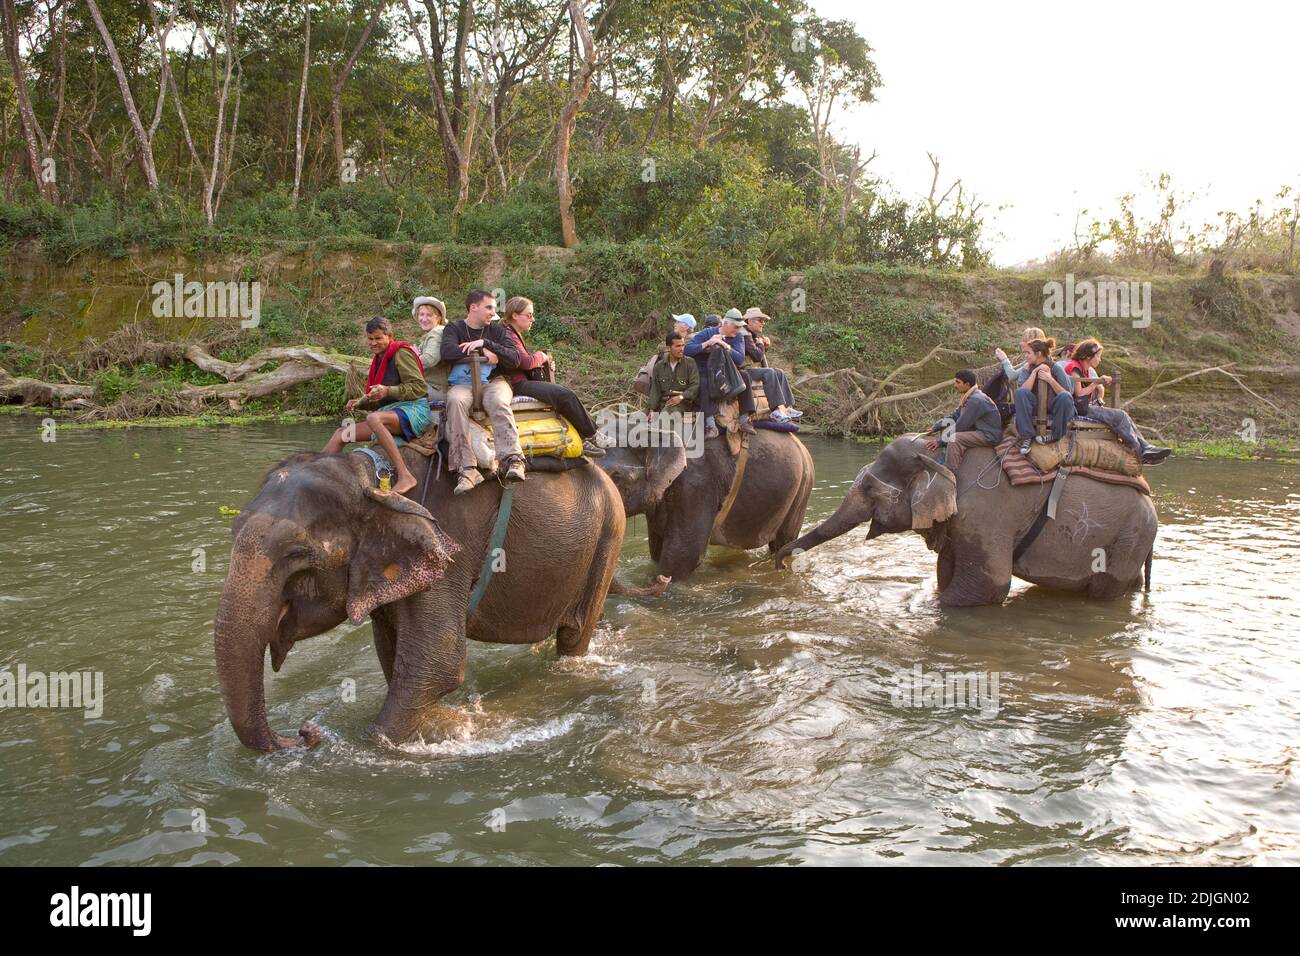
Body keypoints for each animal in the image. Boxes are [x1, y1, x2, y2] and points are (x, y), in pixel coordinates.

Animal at [213, 447, 624, 754]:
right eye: (232, 532)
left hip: (607, 537)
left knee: (574, 637)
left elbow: (437, 664)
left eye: (296, 554)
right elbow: (393, 655)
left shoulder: (449, 549)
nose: (304, 732)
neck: (372, 479)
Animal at [595, 416, 811, 582]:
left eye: (616, 476)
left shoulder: (695, 485)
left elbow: (684, 555)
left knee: (783, 542)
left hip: (802, 488)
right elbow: (657, 548)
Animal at [769, 434, 1159, 606]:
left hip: (1128, 537)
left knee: (1105, 590)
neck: (943, 453)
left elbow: (990, 586)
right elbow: (946, 570)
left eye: (868, 487)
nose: (781, 562)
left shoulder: (987, 515)